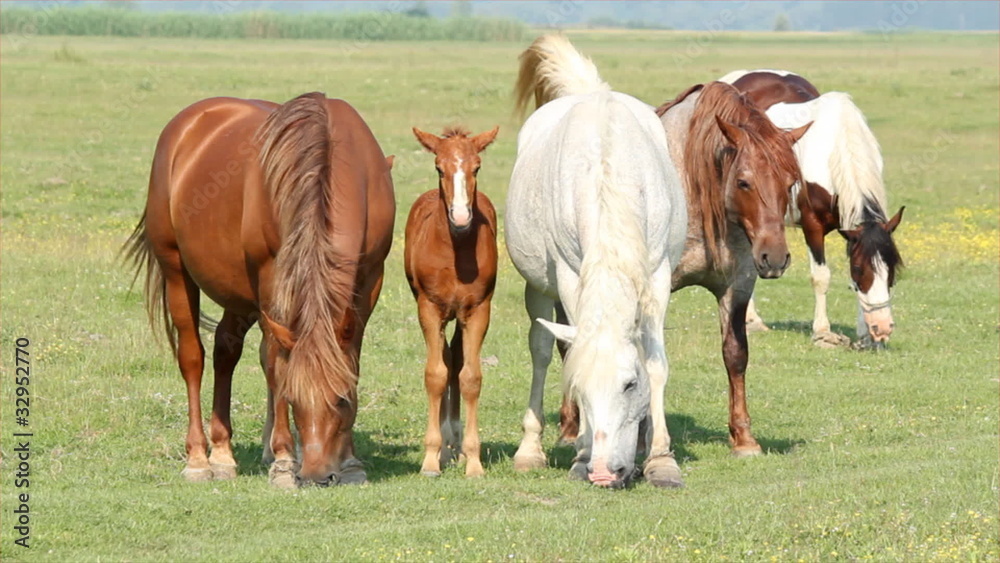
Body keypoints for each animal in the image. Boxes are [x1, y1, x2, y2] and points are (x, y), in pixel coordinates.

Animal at [124, 92, 395, 488]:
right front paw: (283, 461)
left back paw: (223, 454)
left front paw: (350, 463)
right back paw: (199, 459)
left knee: (226, 351)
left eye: (342, 400)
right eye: (293, 400)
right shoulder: (270, 278)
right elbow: (275, 365)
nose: (316, 476)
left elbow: (350, 359)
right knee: (193, 358)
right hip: (177, 271)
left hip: (236, 292)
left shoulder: (371, 278)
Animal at [404, 125, 499, 478]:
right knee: (445, 358)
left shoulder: (478, 310)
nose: (460, 216)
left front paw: (472, 460)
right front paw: (431, 459)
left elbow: (469, 377)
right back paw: (445, 448)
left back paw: (455, 445)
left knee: (456, 358)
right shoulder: (429, 309)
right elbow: (436, 375)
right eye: (438, 168)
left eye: (477, 168)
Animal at [508, 35, 688, 488]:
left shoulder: (657, 276)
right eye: (580, 390)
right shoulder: (570, 276)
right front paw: (581, 453)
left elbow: (656, 363)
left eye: (629, 384)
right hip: (538, 287)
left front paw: (660, 459)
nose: (606, 472)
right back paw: (530, 450)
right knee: (540, 352)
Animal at [719, 70, 905, 349]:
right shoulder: (812, 226)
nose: (881, 328)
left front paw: (863, 335)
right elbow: (821, 277)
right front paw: (822, 331)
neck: (836, 147)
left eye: (892, 268)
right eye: (860, 269)